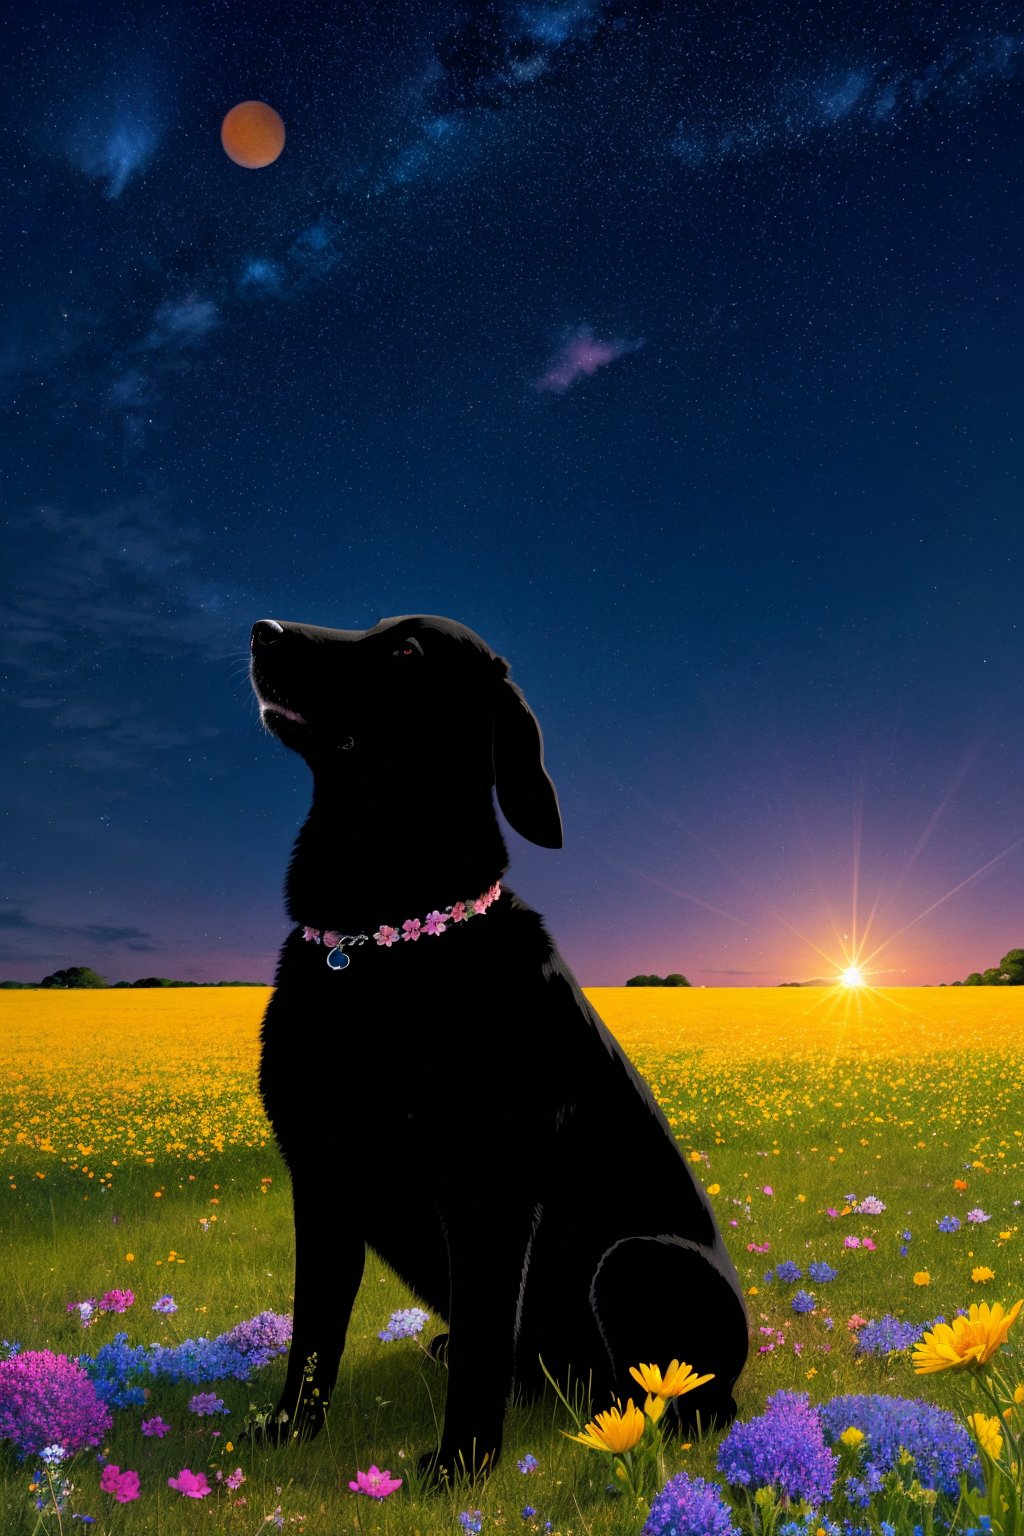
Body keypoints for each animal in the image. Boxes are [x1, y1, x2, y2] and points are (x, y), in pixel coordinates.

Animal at [248, 611, 746, 1474]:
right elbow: (312, 1333)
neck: (380, 937)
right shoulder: (322, 1181)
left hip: (634, 1261)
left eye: (405, 652)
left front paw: (459, 1467)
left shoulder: (490, 1191)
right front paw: (285, 1437)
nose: (261, 630)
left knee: (683, 1399)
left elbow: (484, 1337)